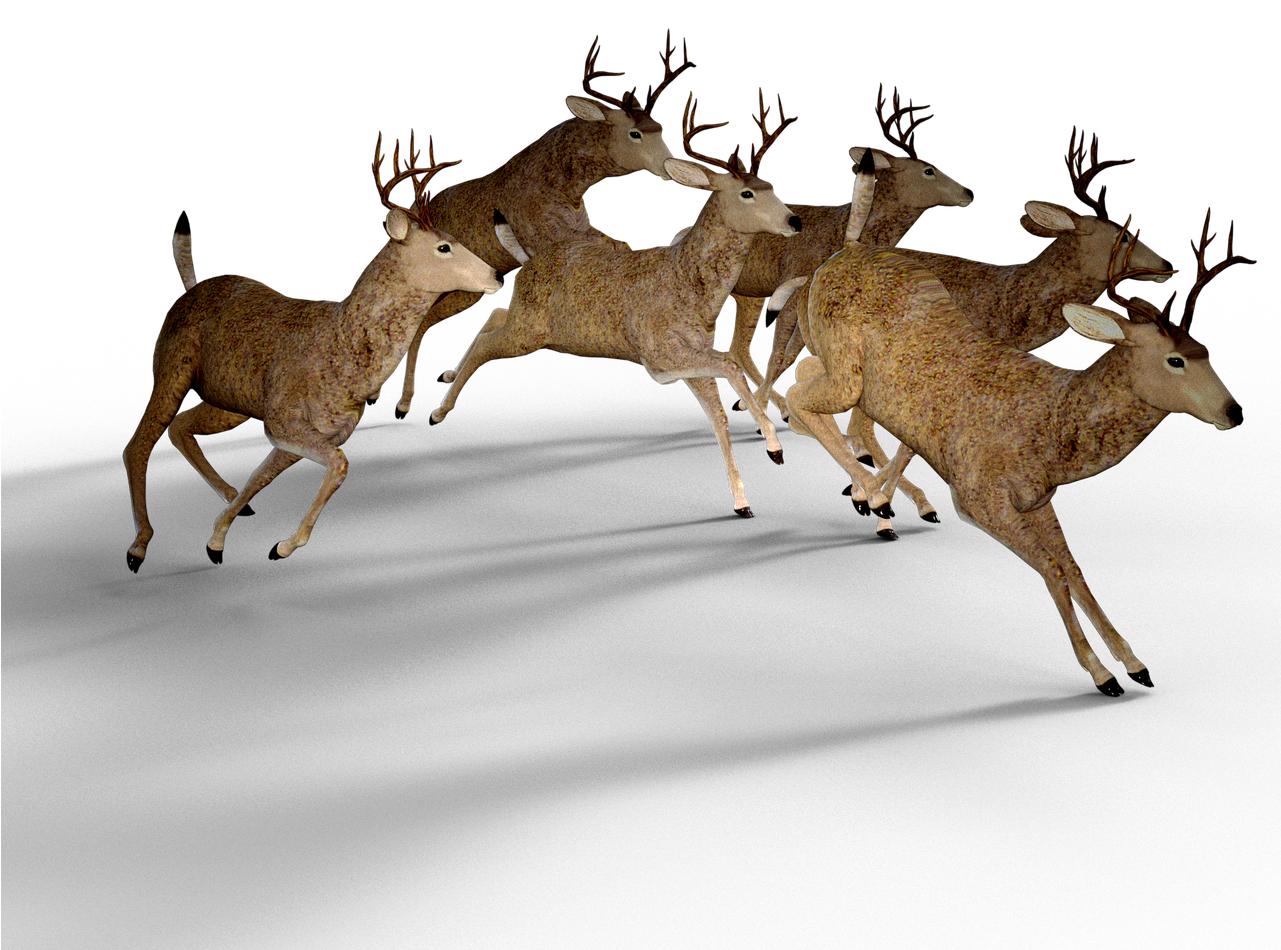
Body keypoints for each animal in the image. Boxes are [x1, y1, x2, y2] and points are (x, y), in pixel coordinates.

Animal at [123, 133, 503, 559]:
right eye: (443, 247)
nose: (494, 274)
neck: (346, 357)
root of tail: (190, 291)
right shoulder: (282, 417)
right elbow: (338, 465)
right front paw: (289, 542)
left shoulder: (312, 430)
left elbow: (261, 474)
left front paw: (220, 532)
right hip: (173, 365)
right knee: (138, 443)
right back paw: (141, 539)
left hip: (229, 401)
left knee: (180, 427)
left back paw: (225, 492)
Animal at [391, 36, 686, 413]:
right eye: (635, 133)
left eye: (659, 128)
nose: (670, 166)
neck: (566, 188)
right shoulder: (547, 241)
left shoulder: (579, 235)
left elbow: (618, 247)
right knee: (421, 323)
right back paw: (407, 398)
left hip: (466, 290)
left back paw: (446, 375)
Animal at [430, 94, 802, 515]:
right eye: (747, 193)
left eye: (770, 185)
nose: (795, 220)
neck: (691, 289)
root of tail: (529, 263)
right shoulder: (659, 357)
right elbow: (729, 366)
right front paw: (772, 438)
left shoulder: (692, 356)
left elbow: (719, 416)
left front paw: (743, 496)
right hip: (529, 332)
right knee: (487, 343)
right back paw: (441, 408)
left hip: (532, 325)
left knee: (494, 316)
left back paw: (448, 376)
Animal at [780, 149, 1239, 685]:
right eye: (1176, 360)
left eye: (1206, 351)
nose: (1231, 408)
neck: (1051, 425)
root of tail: (847, 250)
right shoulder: (978, 496)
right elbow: (1051, 569)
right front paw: (1097, 668)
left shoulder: (1039, 500)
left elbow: (1074, 569)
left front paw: (1130, 657)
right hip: (845, 372)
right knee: (798, 397)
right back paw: (873, 495)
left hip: (843, 369)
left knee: (810, 392)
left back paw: (875, 491)